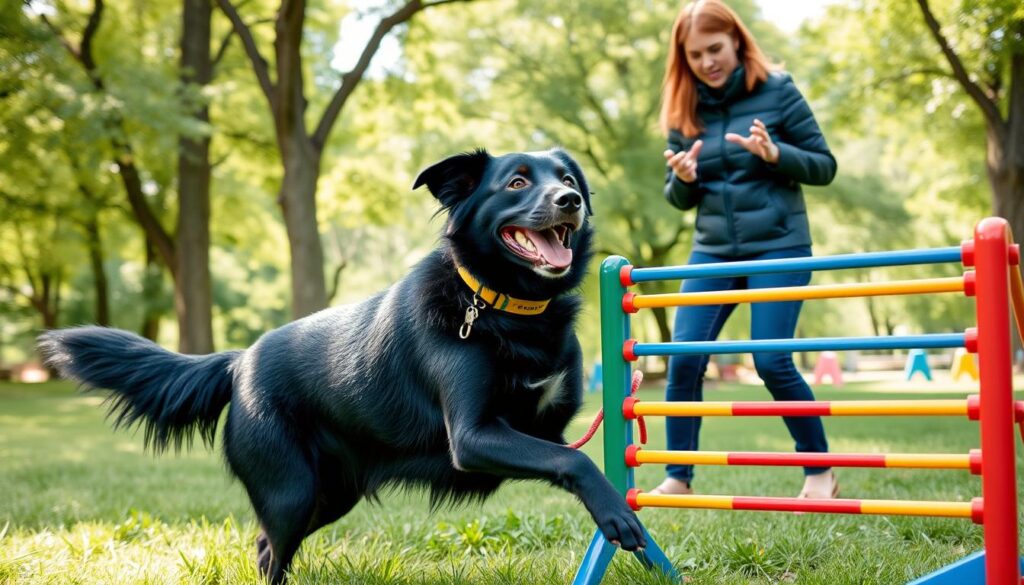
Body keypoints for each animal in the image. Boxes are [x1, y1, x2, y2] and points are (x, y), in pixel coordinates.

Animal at [41, 148, 647, 581]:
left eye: (568, 177)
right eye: (518, 183)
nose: (570, 199)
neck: (509, 310)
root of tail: (239, 362)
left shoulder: (546, 422)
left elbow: (573, 447)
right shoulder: (474, 436)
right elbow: (576, 461)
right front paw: (618, 515)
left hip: (328, 494)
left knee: (265, 549)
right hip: (290, 492)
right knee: (271, 551)